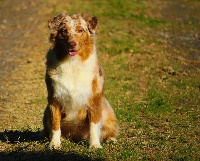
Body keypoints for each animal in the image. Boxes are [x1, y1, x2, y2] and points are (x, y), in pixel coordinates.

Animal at [43, 13, 119, 149]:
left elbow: (94, 125)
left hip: (107, 113)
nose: (72, 44)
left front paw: (94, 145)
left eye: (80, 30)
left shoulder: (94, 100)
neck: (72, 63)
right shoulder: (54, 100)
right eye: (64, 31)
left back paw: (110, 139)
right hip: (45, 113)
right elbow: (55, 124)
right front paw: (54, 144)